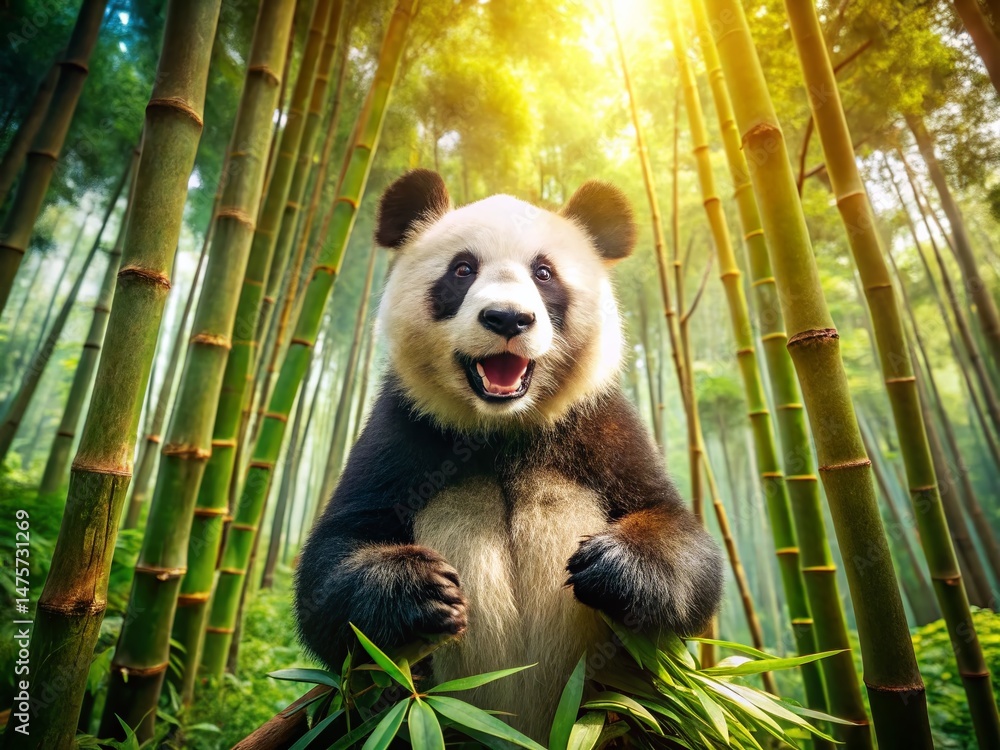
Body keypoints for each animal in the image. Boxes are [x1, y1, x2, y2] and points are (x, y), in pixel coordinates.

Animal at [295, 169, 723, 740]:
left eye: (544, 273)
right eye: (461, 270)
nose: (507, 319)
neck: (502, 427)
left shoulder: (600, 424)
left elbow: (677, 536)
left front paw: (613, 565)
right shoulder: (404, 430)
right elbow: (331, 570)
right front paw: (421, 589)